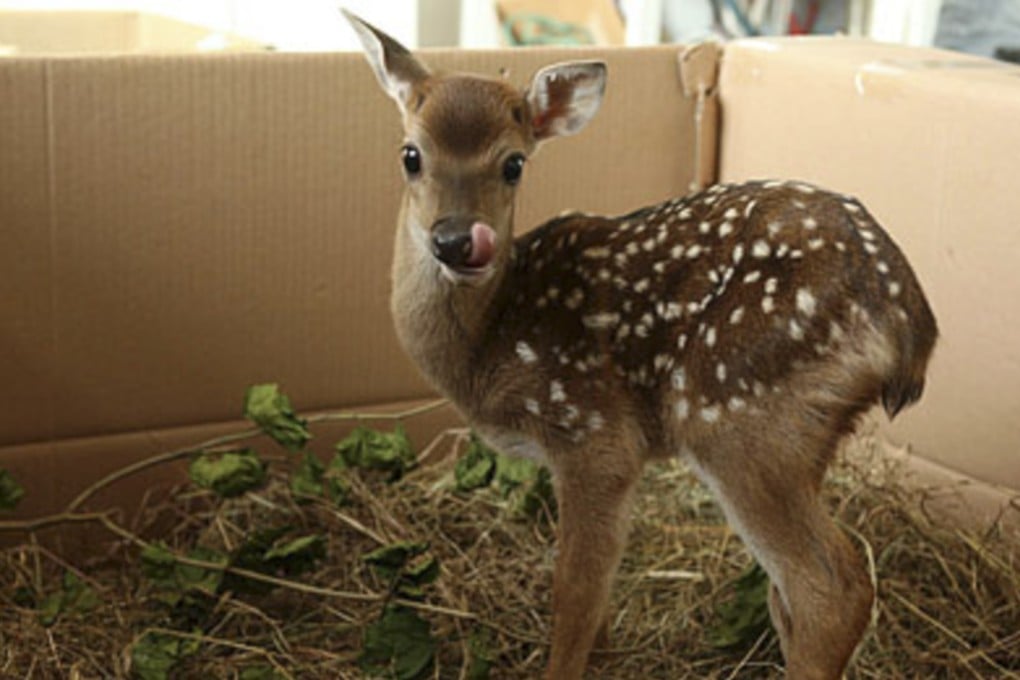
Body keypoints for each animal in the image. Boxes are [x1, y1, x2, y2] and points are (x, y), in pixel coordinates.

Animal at [343, 11, 937, 680]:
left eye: (514, 163)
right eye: (410, 154)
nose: (455, 240)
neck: (489, 341)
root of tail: (910, 322)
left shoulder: (594, 433)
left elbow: (573, 590)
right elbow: (598, 599)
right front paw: (605, 656)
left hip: (737, 413)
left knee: (830, 591)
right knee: (789, 597)